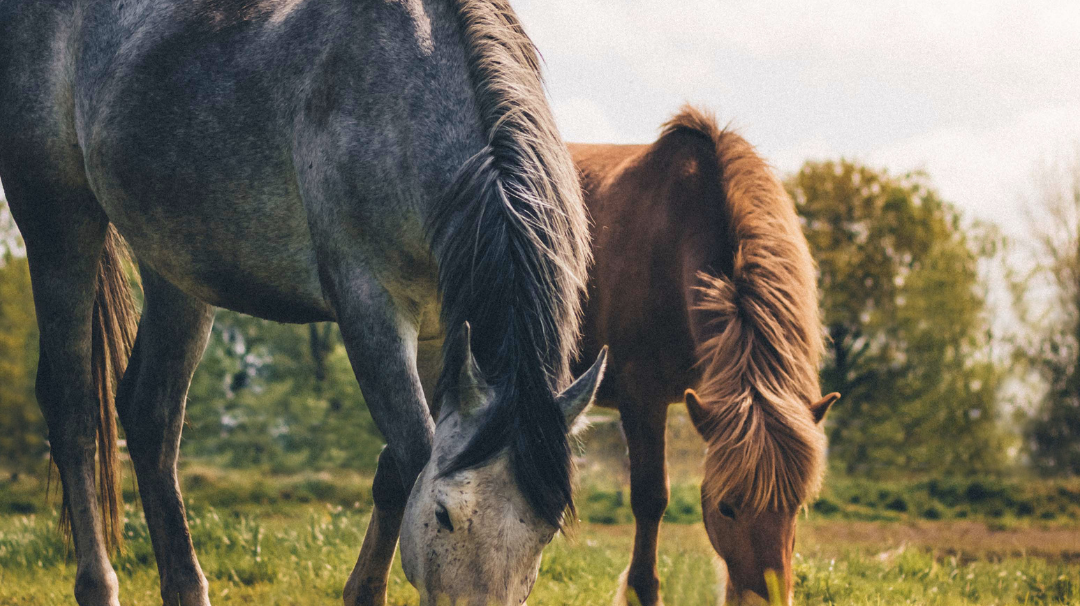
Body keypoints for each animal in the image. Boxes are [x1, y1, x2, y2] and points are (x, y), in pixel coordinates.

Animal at [0, 1, 607, 605]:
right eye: (444, 515)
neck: (409, 97)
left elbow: (396, 467)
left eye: (545, 530)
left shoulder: (442, 329)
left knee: (151, 415)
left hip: (175, 265)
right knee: (74, 408)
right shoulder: (370, 309)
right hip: (59, 219)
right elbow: (413, 451)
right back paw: (98, 584)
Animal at [570, 106, 840, 606]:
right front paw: (642, 591)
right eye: (726, 508)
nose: (765, 601)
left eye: (796, 506)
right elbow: (650, 497)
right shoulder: (642, 398)